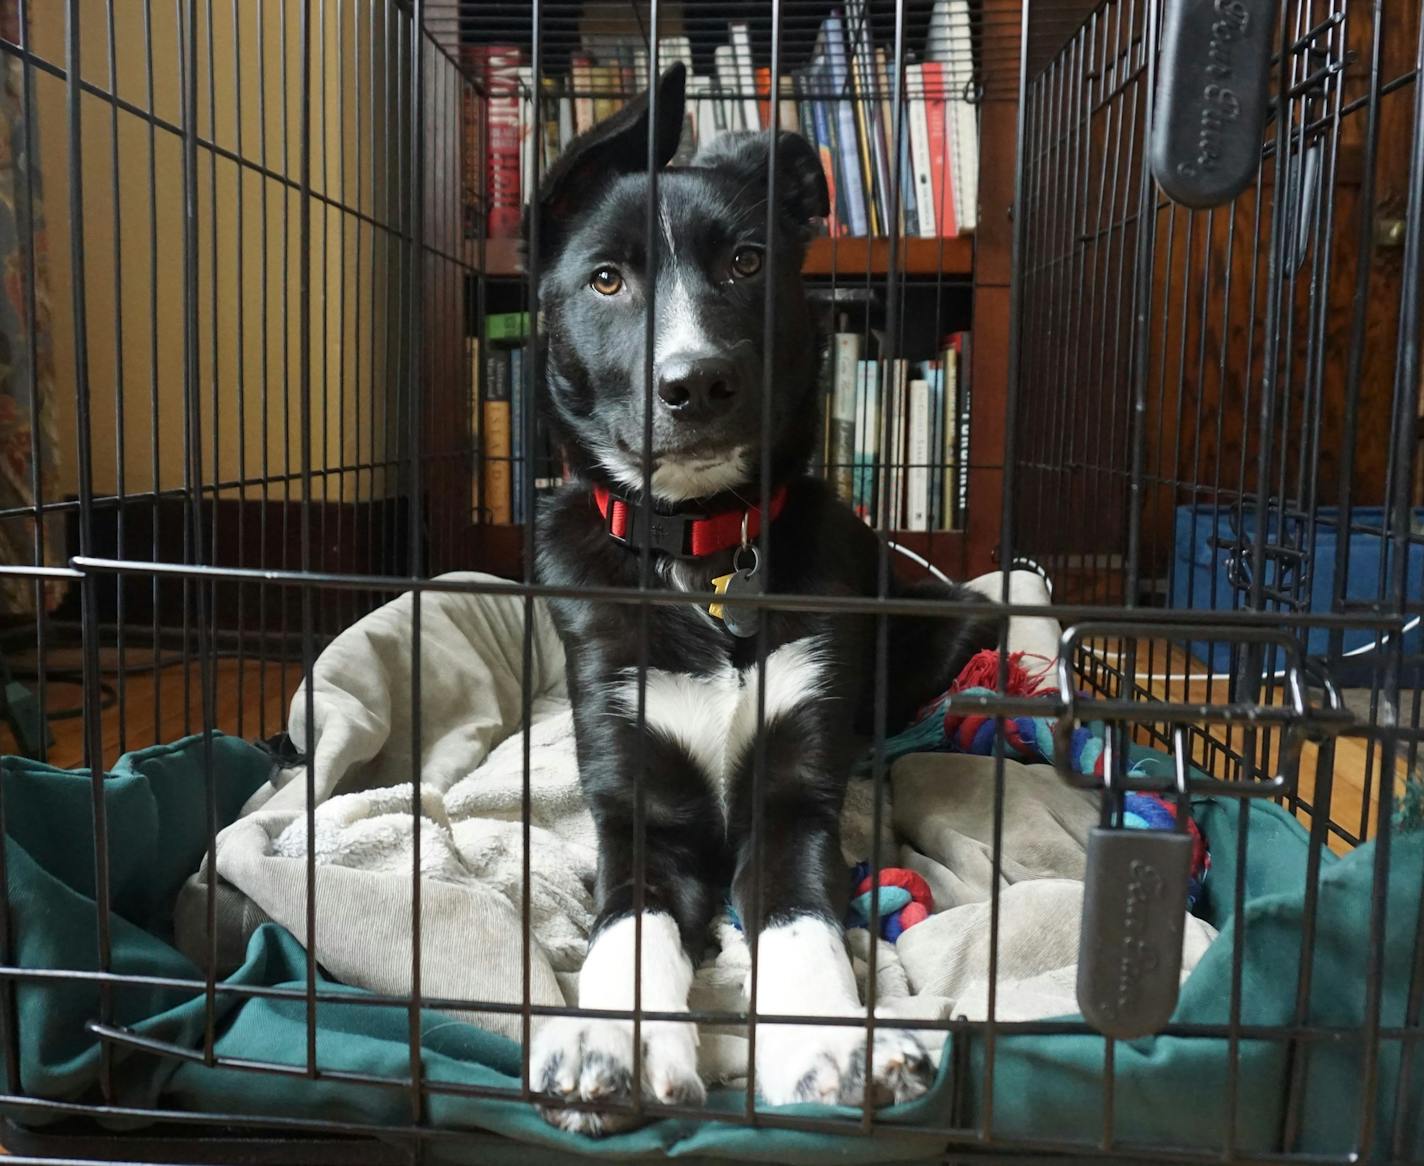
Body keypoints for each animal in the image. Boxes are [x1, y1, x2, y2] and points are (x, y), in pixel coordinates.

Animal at [529, 61, 996, 1133]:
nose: (695, 383)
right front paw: (607, 1041)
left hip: (954, 619)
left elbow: (795, 915)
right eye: (606, 279)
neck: (703, 559)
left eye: (746, 262)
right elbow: (631, 921)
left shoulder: (794, 796)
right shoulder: (637, 800)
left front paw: (830, 1043)